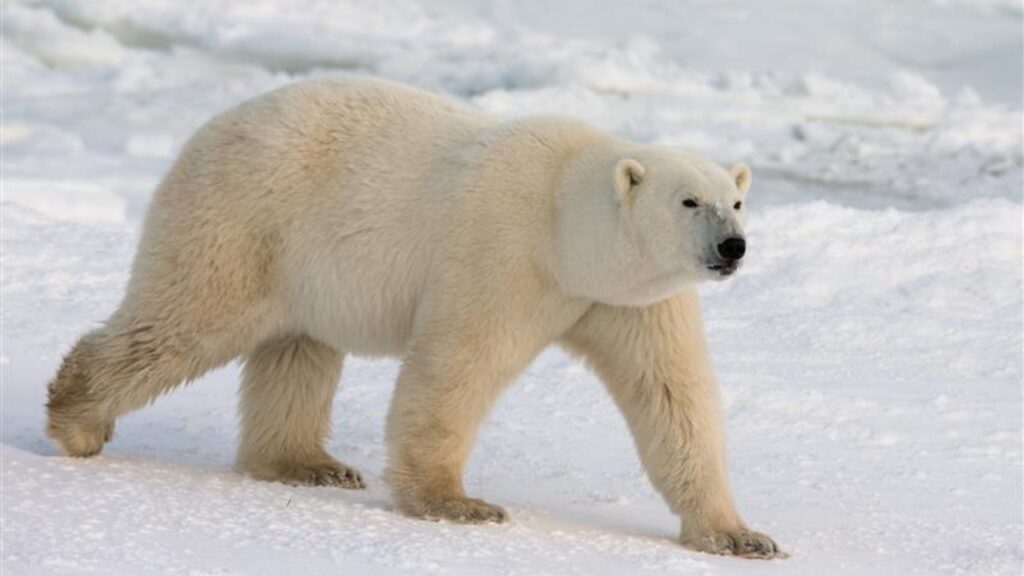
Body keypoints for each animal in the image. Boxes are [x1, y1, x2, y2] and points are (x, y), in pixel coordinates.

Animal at [46, 77, 779, 558]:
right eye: (689, 201)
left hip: (296, 264)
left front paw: (741, 535)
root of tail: (209, 127)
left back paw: (308, 463)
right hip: (243, 221)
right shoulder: (503, 254)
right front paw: (459, 504)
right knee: (185, 318)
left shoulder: (632, 301)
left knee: (297, 351)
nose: (732, 247)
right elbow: (458, 365)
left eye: (737, 200)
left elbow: (672, 397)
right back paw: (76, 420)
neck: (565, 226)